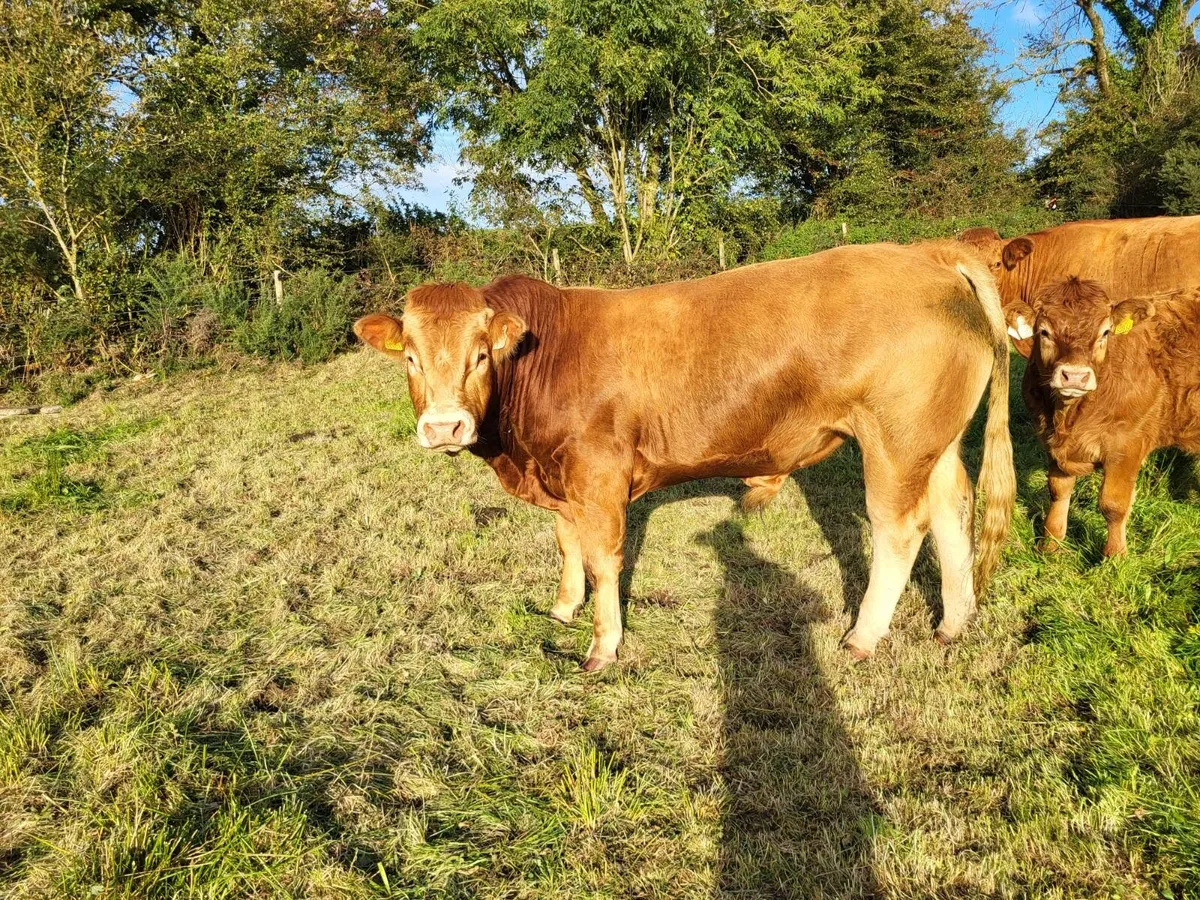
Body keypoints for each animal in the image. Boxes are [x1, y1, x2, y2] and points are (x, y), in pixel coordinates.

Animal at [354, 243, 1016, 671]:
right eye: (409, 356)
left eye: (481, 355)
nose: (444, 426)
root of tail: (929, 255)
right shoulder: (560, 476)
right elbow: (567, 543)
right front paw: (564, 609)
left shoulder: (598, 472)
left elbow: (603, 559)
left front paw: (603, 646)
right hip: (936, 440)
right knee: (953, 511)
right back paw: (953, 622)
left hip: (894, 442)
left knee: (899, 529)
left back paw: (862, 637)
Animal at [1006, 276, 1200, 557]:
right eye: (1044, 332)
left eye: (1105, 332)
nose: (1075, 376)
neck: (1068, 417)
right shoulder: (1052, 443)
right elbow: (1058, 491)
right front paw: (1050, 543)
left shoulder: (1127, 446)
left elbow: (1113, 504)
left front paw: (1115, 555)